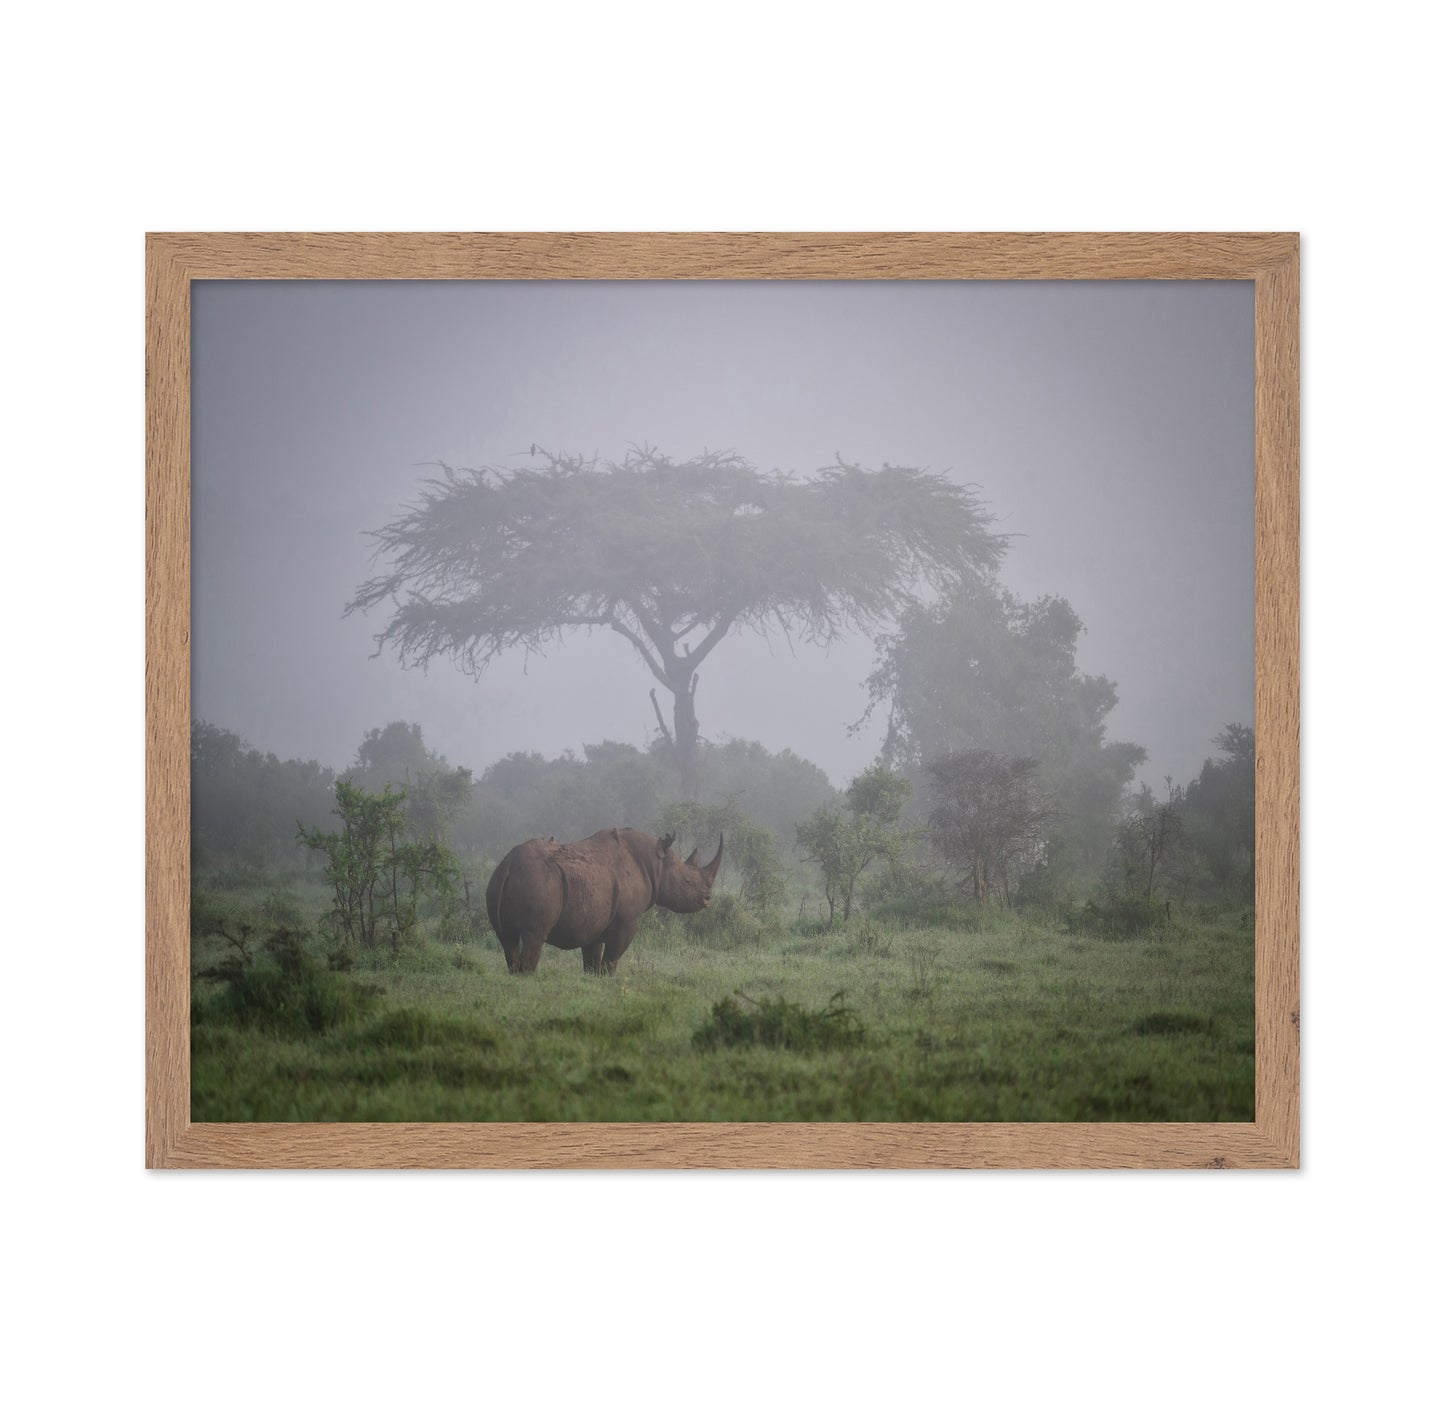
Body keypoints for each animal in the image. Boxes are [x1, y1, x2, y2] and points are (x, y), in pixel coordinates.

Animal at [485, 827, 724, 973]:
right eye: (687, 881)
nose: (707, 899)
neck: (656, 864)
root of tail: (508, 865)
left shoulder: (593, 921)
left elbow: (592, 960)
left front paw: (593, 982)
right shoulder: (626, 920)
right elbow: (612, 958)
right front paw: (609, 982)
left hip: (497, 882)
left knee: (507, 939)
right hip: (539, 880)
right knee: (534, 935)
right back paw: (528, 979)